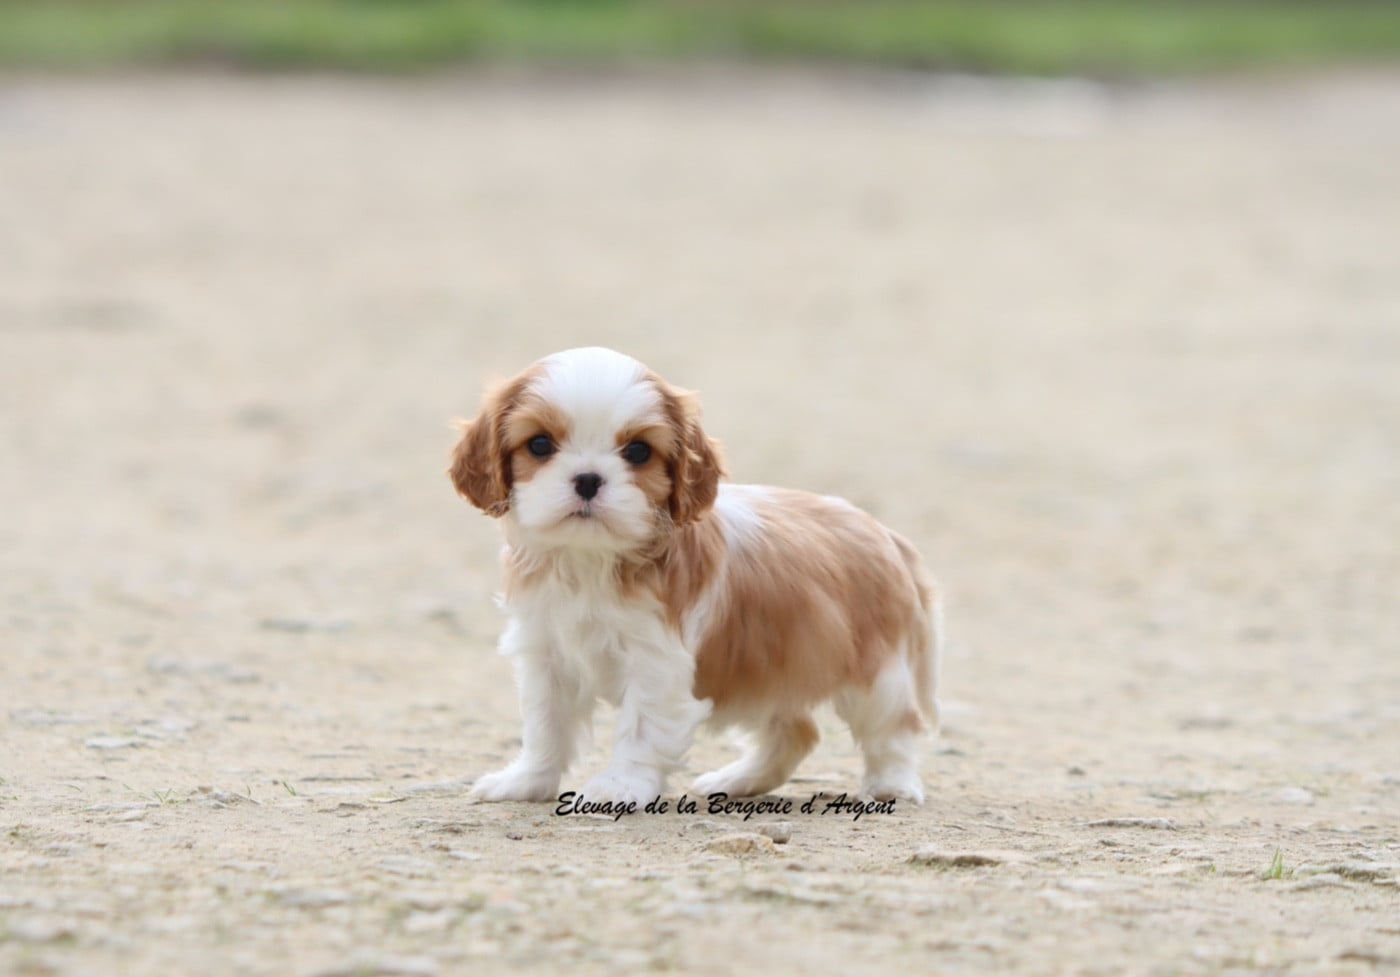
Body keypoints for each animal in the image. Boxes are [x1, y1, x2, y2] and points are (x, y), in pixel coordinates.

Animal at [450, 347, 940, 806]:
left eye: (638, 451)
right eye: (539, 445)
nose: (588, 479)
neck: (592, 560)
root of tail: (884, 533)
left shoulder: (656, 663)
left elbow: (640, 727)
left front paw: (619, 787)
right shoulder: (546, 655)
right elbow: (545, 726)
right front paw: (526, 781)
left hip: (874, 674)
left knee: (893, 729)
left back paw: (891, 785)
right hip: (765, 669)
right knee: (795, 731)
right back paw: (740, 780)